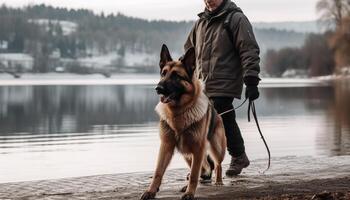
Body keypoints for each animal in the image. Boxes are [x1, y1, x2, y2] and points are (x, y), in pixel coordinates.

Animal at [140, 45, 227, 200]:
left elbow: (194, 174)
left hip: (216, 148)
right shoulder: (166, 145)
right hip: (187, 154)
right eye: (163, 73)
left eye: (176, 76)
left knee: (217, 164)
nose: (158, 88)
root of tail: (218, 114)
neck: (178, 113)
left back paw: (218, 181)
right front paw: (151, 191)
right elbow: (158, 172)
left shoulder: (198, 148)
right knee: (203, 166)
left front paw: (190, 193)